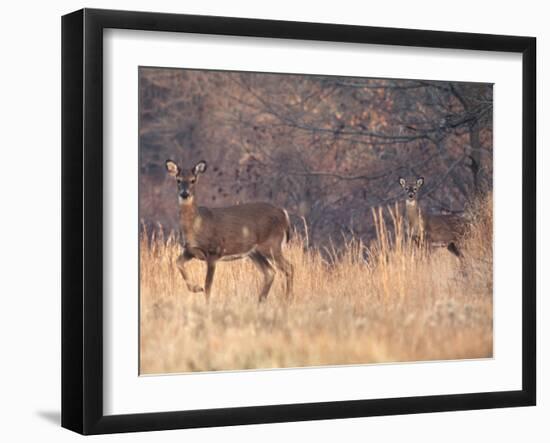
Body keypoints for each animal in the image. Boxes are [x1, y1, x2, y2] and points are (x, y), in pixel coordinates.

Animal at [165, 160, 296, 302]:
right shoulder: (190, 250)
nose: (184, 193)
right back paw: (261, 300)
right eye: (178, 180)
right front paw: (196, 288)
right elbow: (178, 262)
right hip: (254, 252)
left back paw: (287, 299)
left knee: (289, 267)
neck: (197, 225)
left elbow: (208, 285)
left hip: (271, 244)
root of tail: (283, 213)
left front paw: (206, 301)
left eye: (193, 180)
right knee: (270, 272)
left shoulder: (214, 251)